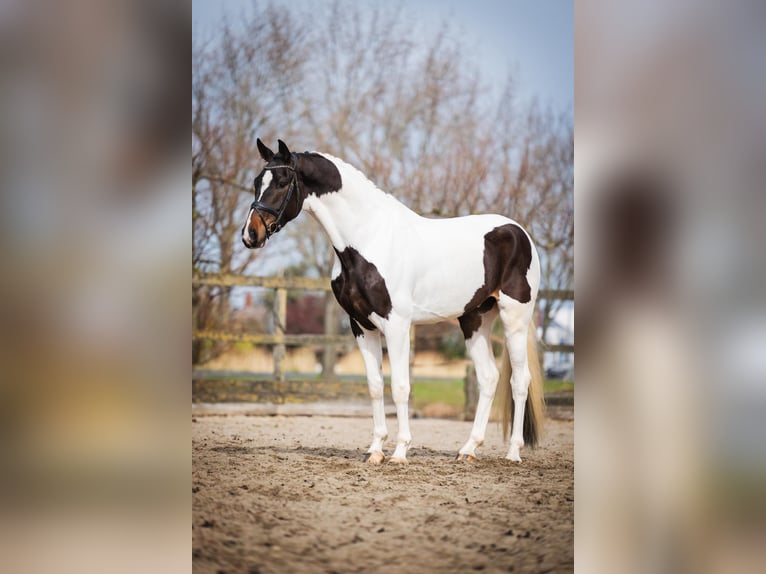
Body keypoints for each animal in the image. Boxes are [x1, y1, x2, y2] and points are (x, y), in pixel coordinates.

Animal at [242, 139, 544, 464]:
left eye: (283, 182)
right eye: (257, 181)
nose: (250, 234)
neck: (369, 238)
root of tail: (520, 233)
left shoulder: (397, 325)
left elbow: (400, 387)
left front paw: (400, 451)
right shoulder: (362, 326)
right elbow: (375, 387)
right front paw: (375, 450)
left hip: (514, 319)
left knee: (519, 381)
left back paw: (513, 452)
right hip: (474, 318)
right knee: (489, 377)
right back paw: (468, 450)